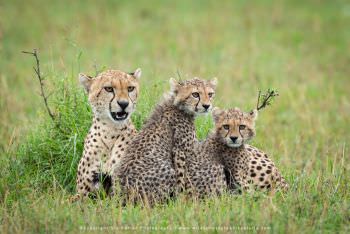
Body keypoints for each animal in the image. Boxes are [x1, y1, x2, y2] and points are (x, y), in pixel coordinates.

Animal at [113, 77, 217, 205]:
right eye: (195, 94)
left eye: (210, 94)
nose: (207, 106)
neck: (179, 107)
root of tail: (121, 197)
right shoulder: (180, 151)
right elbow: (182, 176)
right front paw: (183, 200)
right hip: (167, 173)